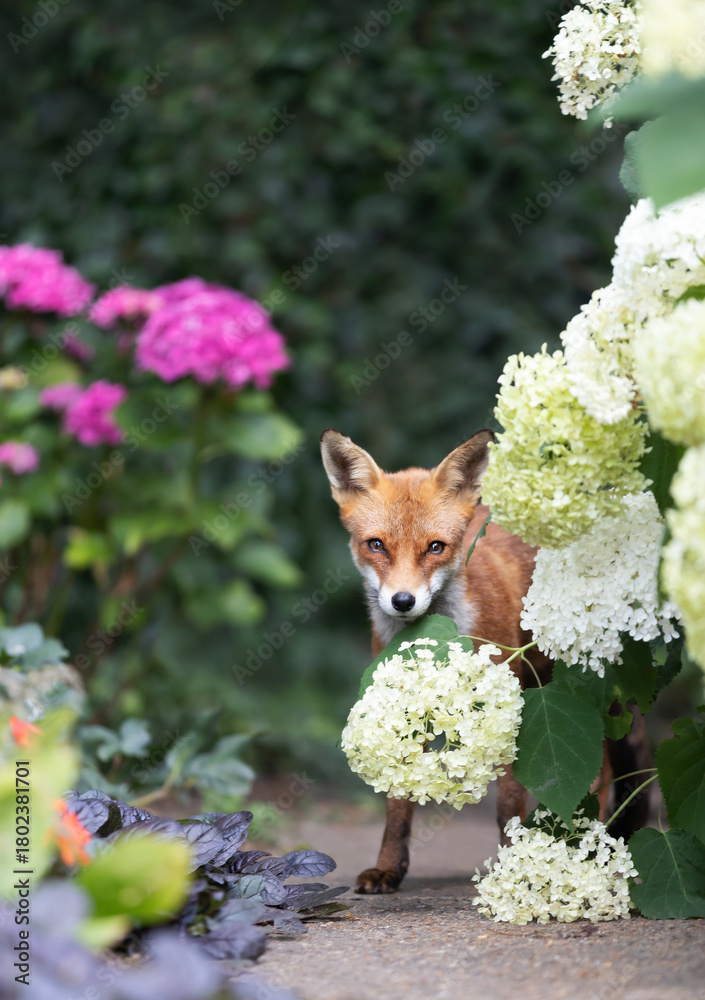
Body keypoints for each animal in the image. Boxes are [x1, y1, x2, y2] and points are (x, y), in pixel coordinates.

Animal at [321, 427, 650, 894]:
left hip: (593, 692)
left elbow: (508, 803)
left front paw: (516, 865)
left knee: (606, 774)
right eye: (377, 545)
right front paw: (388, 868)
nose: (403, 601)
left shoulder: (508, 702)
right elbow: (398, 802)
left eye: (435, 547)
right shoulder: (399, 700)